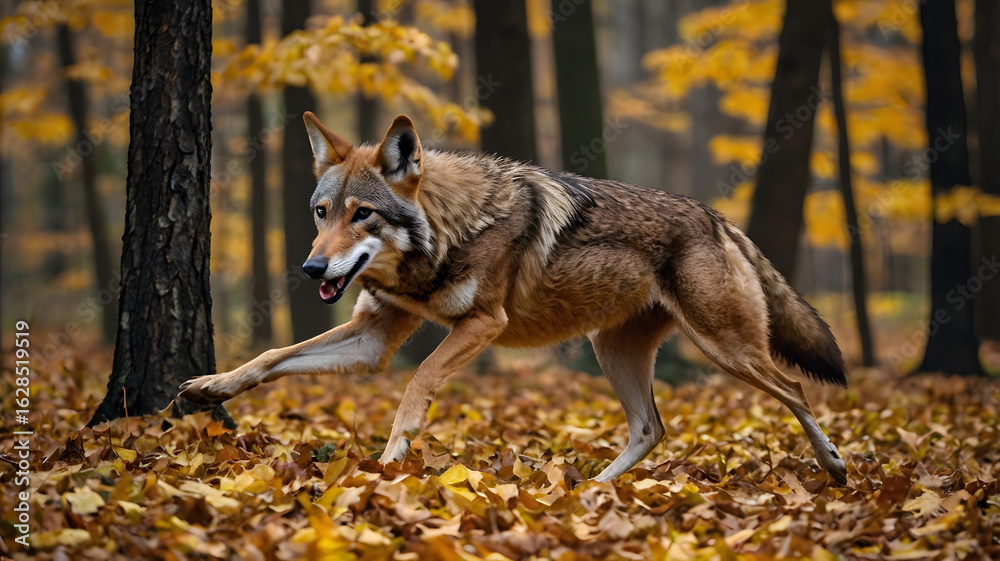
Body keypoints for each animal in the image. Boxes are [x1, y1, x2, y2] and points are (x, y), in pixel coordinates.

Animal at [181, 112, 849, 484]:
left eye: (362, 214)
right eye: (322, 213)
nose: (312, 265)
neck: (446, 236)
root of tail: (717, 217)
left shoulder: (483, 324)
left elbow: (417, 382)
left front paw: (392, 461)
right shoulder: (374, 338)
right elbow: (272, 356)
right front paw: (209, 387)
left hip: (725, 349)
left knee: (795, 390)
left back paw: (836, 466)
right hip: (614, 353)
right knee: (651, 428)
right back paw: (591, 492)